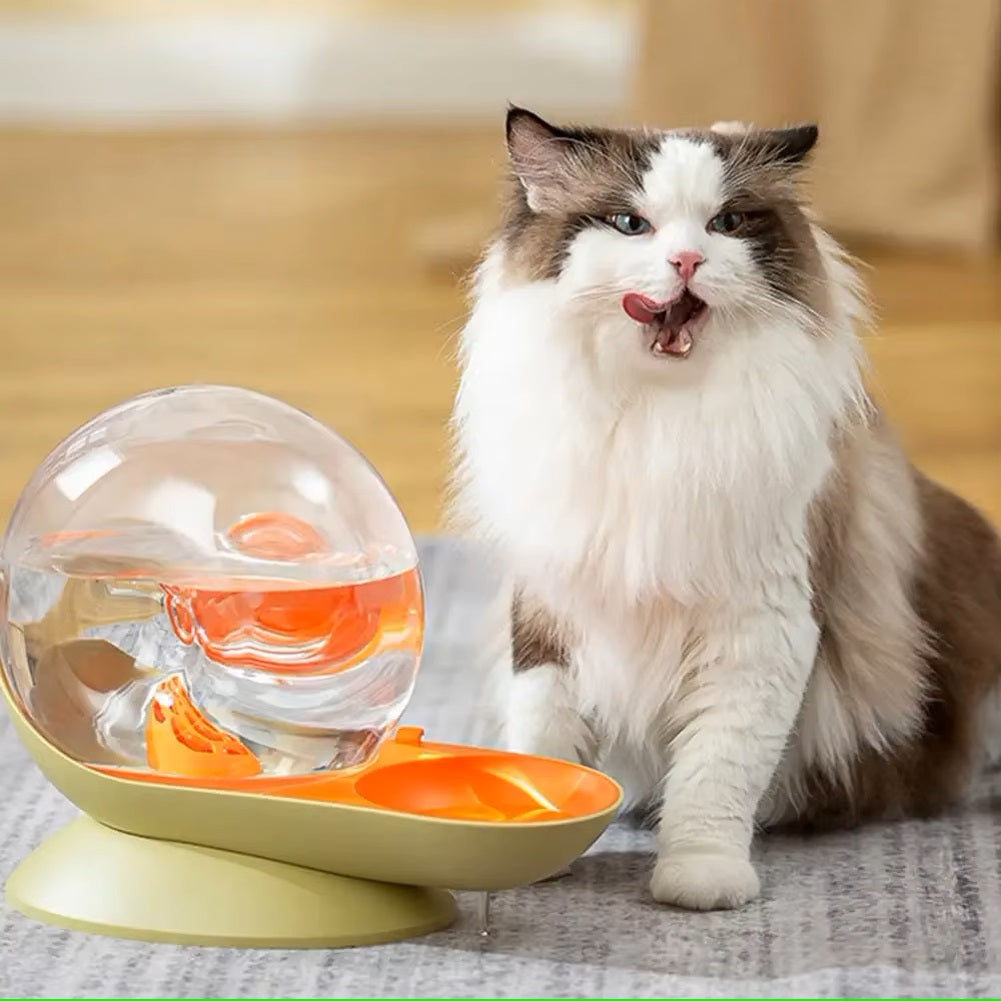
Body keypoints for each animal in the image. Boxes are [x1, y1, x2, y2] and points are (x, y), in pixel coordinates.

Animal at [452, 105, 1001, 912]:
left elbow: (716, 775)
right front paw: (537, 847)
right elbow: (543, 739)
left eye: (727, 222)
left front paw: (698, 884)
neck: (654, 421)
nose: (686, 261)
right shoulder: (552, 611)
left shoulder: (759, 630)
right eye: (630, 224)